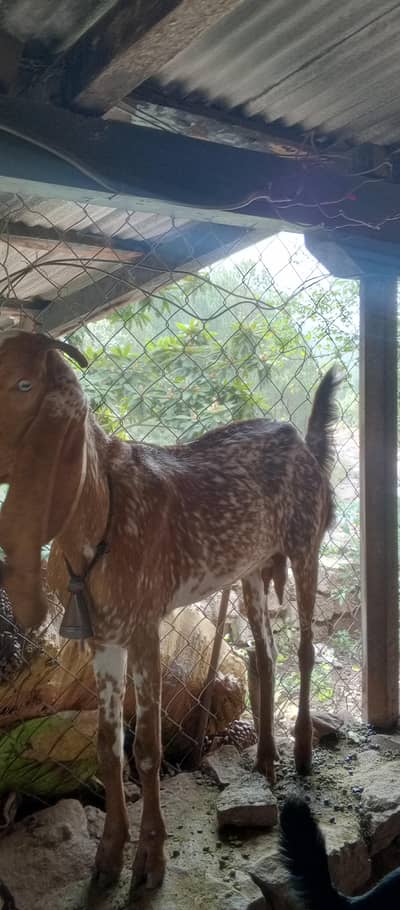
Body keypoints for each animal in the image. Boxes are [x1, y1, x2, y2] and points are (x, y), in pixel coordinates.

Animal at [0, 330, 339, 891]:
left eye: (24, 383)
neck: (100, 513)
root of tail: (303, 443)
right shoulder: (104, 637)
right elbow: (107, 745)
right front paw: (107, 858)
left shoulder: (144, 629)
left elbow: (147, 749)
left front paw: (150, 862)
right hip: (249, 569)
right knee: (265, 653)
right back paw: (265, 759)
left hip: (305, 546)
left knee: (306, 649)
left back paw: (302, 753)